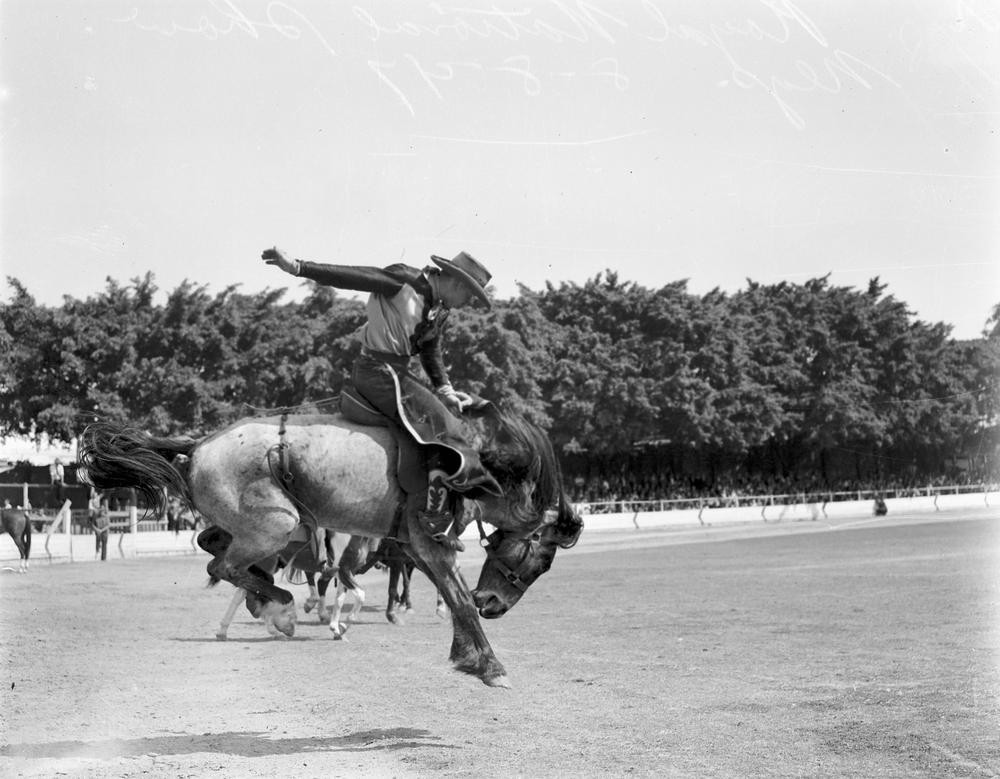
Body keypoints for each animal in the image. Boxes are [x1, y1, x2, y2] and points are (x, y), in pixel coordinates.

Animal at [82, 400, 584, 684]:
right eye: (541, 559)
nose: (494, 604)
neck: (472, 468)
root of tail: (199, 444)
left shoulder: (413, 545)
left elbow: (444, 592)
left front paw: (465, 655)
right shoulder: (428, 542)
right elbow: (457, 597)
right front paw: (489, 666)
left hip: (253, 527)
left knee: (215, 549)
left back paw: (270, 608)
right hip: (276, 526)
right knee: (223, 567)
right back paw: (282, 608)